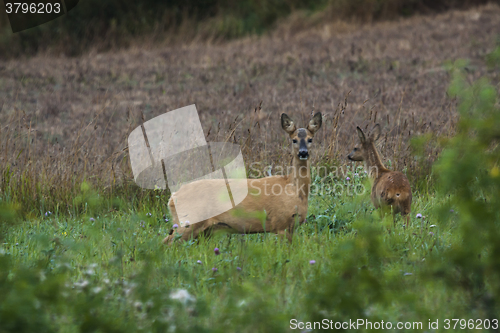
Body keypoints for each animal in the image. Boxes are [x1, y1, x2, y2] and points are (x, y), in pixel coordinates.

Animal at [162, 111, 322, 244]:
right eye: (294, 140)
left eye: (310, 139)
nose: (303, 152)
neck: (293, 188)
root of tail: (173, 197)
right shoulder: (281, 223)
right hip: (188, 222)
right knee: (167, 242)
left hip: (201, 230)